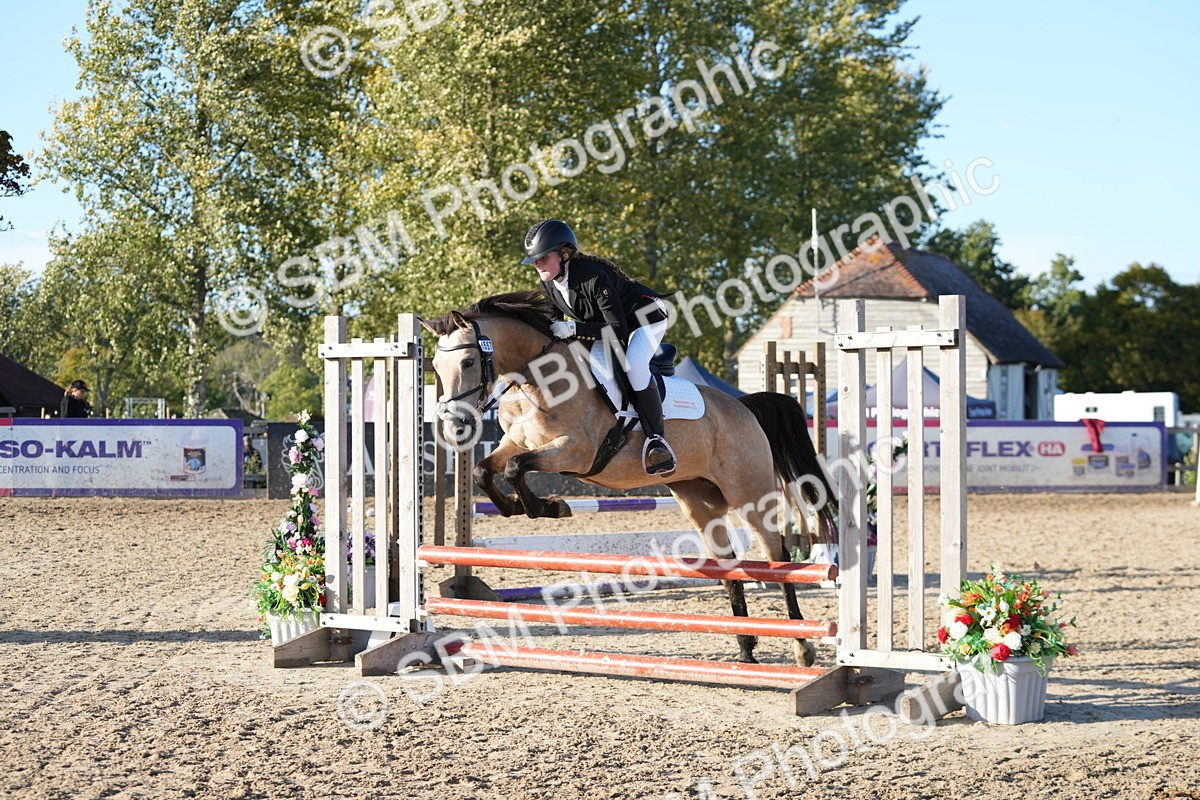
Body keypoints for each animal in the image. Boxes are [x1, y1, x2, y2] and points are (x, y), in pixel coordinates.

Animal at [423, 291, 838, 666]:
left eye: (469, 360)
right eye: (436, 366)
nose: (455, 425)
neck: (538, 382)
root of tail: (743, 406)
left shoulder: (573, 451)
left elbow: (516, 469)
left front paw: (551, 507)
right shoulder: (516, 443)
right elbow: (485, 470)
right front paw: (518, 507)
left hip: (750, 495)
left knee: (779, 560)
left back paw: (802, 648)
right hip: (699, 501)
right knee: (728, 564)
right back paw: (746, 649)